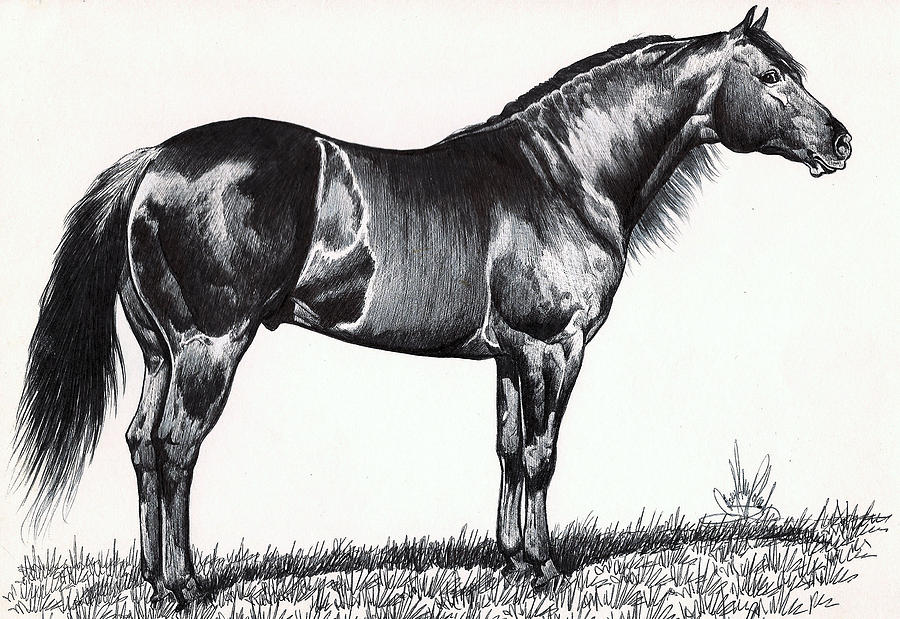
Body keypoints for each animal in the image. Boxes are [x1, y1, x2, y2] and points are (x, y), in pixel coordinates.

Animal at [14, 6, 851, 604]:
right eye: (770, 76)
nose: (841, 141)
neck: (562, 176)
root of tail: (153, 160)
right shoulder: (554, 347)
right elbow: (542, 455)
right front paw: (544, 567)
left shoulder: (513, 355)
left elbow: (510, 451)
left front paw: (511, 560)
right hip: (207, 349)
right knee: (175, 449)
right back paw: (185, 585)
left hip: (162, 351)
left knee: (141, 445)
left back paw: (154, 579)